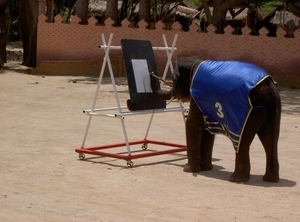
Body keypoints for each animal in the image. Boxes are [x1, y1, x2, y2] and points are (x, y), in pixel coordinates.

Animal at [150, 56, 282, 183]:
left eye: (173, 79)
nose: (151, 73)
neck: (195, 61)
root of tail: (270, 85)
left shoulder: (196, 93)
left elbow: (194, 124)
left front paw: (189, 170)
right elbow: (208, 127)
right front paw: (206, 168)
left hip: (251, 111)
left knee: (244, 142)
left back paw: (237, 179)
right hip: (273, 107)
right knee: (270, 138)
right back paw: (270, 179)